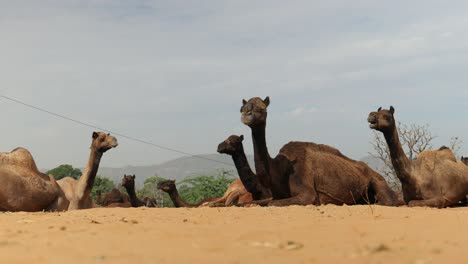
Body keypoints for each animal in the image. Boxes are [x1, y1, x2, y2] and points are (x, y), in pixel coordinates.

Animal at [239, 97, 400, 206]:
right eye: (242, 108)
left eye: (262, 108)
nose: (247, 114)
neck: (279, 169)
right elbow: (247, 203)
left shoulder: (307, 193)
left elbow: (272, 203)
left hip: (378, 181)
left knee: (388, 201)